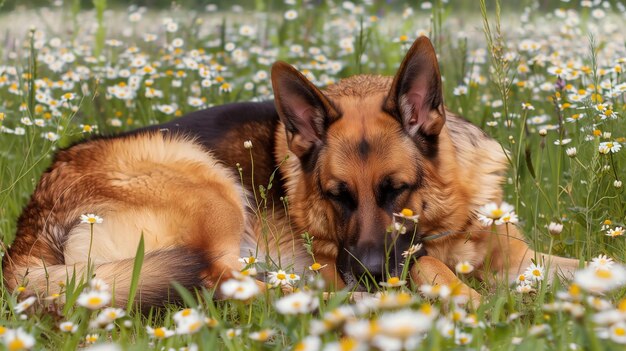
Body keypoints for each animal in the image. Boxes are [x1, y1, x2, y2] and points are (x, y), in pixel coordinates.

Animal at [1, 37, 580, 308]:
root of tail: (26, 233)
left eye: (397, 191)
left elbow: (580, 266)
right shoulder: (393, 258)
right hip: (207, 183)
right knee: (216, 284)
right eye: (335, 195)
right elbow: (430, 267)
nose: (368, 274)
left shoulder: (523, 258)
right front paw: (477, 305)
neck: (447, 217)